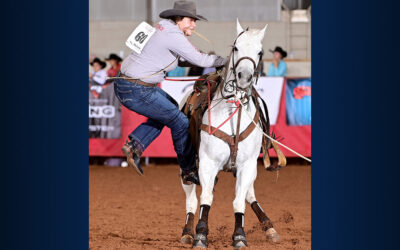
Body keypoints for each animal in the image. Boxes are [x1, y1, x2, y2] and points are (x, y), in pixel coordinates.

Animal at [180, 19, 280, 248]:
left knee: (249, 195)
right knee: (191, 197)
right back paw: (187, 231)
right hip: (187, 165)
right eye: (236, 48)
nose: (244, 77)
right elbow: (206, 198)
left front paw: (240, 235)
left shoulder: (247, 165)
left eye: (260, 52)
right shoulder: (207, 163)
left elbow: (239, 200)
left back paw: (269, 226)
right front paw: (200, 235)